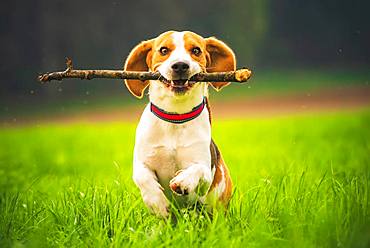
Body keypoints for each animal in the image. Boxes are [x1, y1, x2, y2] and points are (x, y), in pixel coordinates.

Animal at [124, 30, 234, 217]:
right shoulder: (142, 162)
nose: (180, 65)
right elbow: (143, 177)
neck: (175, 117)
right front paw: (158, 204)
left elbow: (198, 170)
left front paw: (182, 181)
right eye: (163, 50)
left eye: (196, 50)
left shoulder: (205, 173)